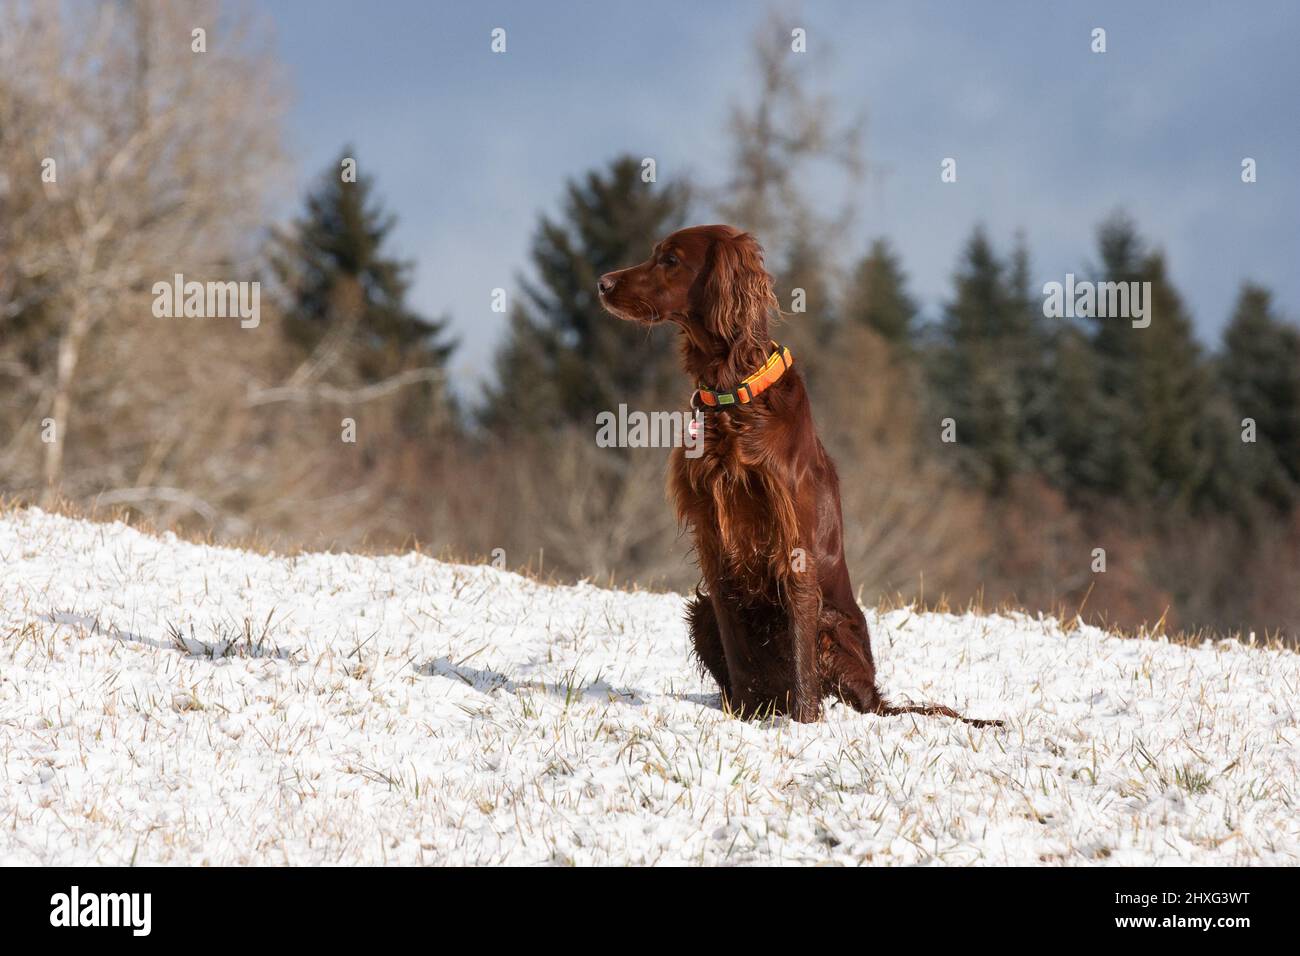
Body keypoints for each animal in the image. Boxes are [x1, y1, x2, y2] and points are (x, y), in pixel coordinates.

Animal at [595, 223, 993, 723]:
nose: (602, 283)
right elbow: (737, 649)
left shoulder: (793, 543)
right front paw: (746, 718)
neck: (734, 397)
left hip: (834, 625)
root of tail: (878, 697)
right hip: (700, 610)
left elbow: (802, 653)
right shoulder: (712, 538)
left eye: (670, 260)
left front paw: (805, 724)